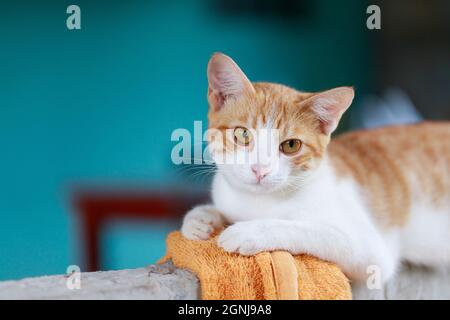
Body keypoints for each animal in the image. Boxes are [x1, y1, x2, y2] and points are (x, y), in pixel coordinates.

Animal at [180, 52, 450, 284]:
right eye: (242, 135)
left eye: (291, 145)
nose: (260, 170)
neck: (259, 202)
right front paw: (200, 218)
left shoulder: (372, 251)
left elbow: (307, 229)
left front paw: (251, 231)